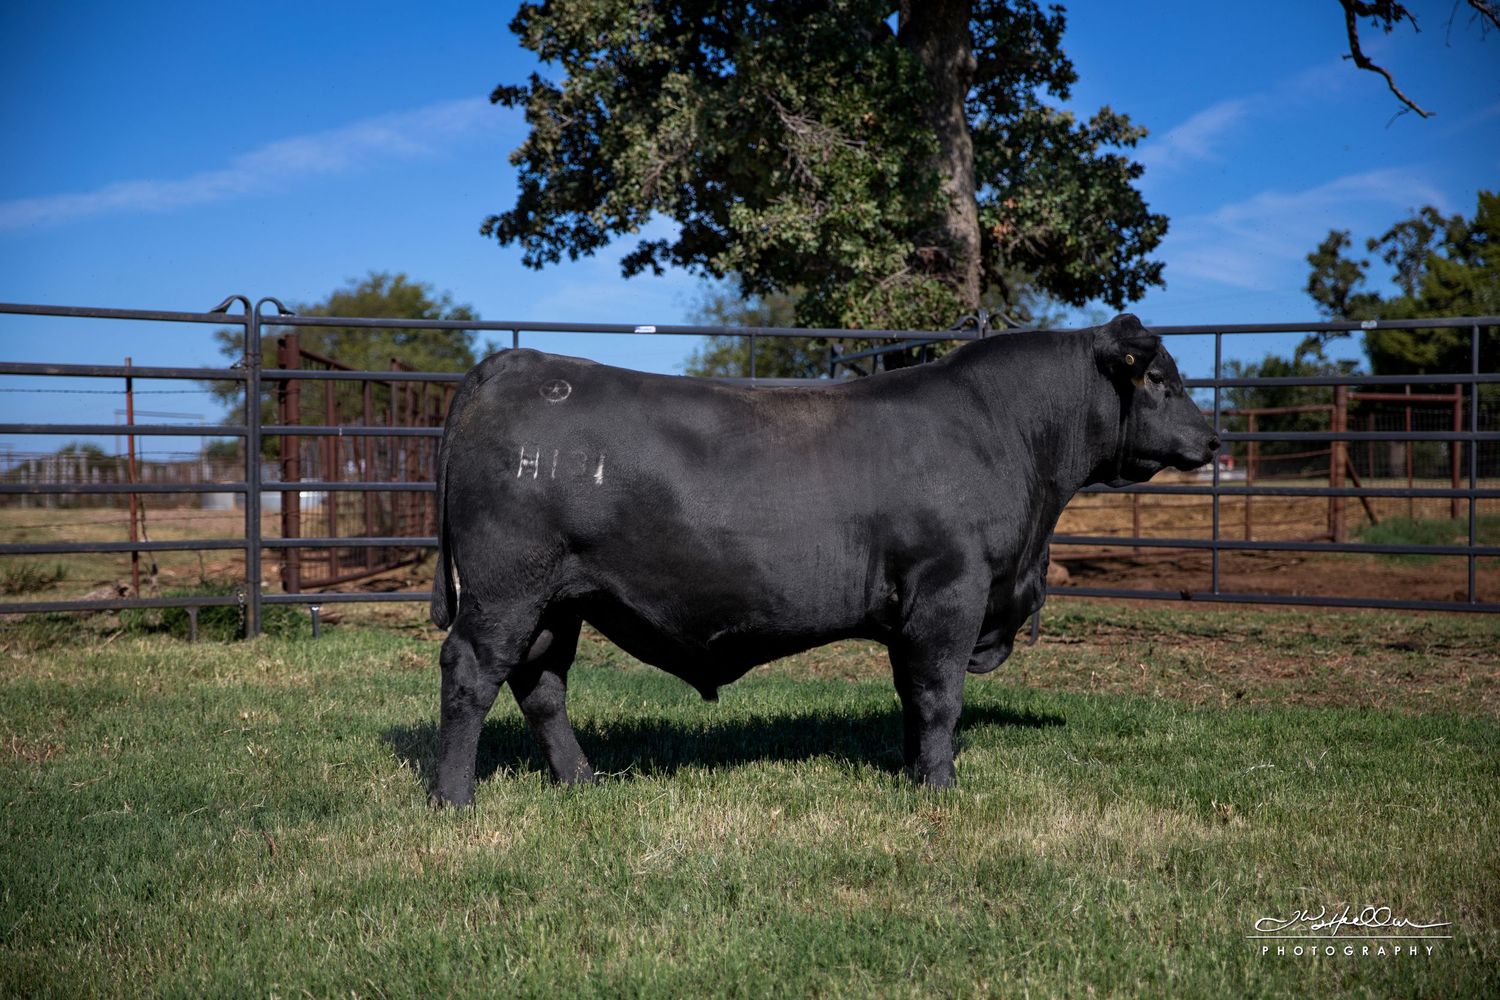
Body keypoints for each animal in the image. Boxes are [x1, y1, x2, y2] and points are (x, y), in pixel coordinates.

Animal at [427, 313, 1218, 805]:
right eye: (1162, 380)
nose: (1213, 440)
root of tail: (517, 361)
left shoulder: (914, 611)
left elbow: (912, 695)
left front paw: (914, 772)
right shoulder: (951, 591)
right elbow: (940, 694)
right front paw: (941, 788)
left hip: (559, 599)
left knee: (541, 684)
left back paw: (581, 781)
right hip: (507, 585)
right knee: (472, 670)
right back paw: (453, 797)